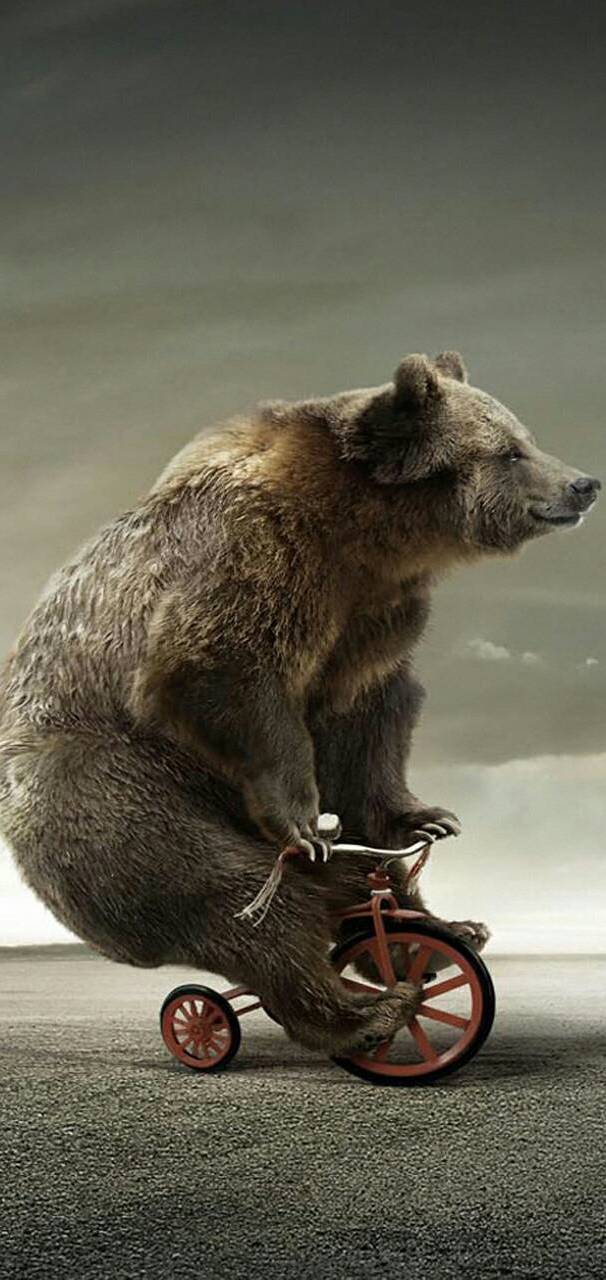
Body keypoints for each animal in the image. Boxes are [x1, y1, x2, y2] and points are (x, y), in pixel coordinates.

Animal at [0, 351, 600, 1055]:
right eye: (510, 451)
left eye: (524, 437)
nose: (583, 483)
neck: (368, 531)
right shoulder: (257, 555)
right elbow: (218, 669)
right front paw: (304, 823)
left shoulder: (371, 615)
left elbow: (369, 717)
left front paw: (425, 818)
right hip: (110, 786)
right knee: (233, 896)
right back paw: (365, 1012)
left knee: (349, 886)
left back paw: (443, 933)